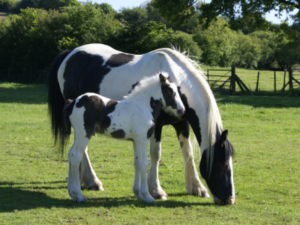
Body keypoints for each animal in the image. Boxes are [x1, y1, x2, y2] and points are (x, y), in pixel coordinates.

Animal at [61, 73, 185, 203]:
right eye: (170, 91)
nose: (182, 110)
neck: (143, 107)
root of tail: (73, 102)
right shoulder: (142, 139)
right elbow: (143, 164)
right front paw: (147, 196)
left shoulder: (135, 141)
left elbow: (137, 163)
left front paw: (138, 194)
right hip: (84, 134)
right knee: (76, 155)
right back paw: (78, 195)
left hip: (78, 134)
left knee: (70, 154)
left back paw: (72, 193)